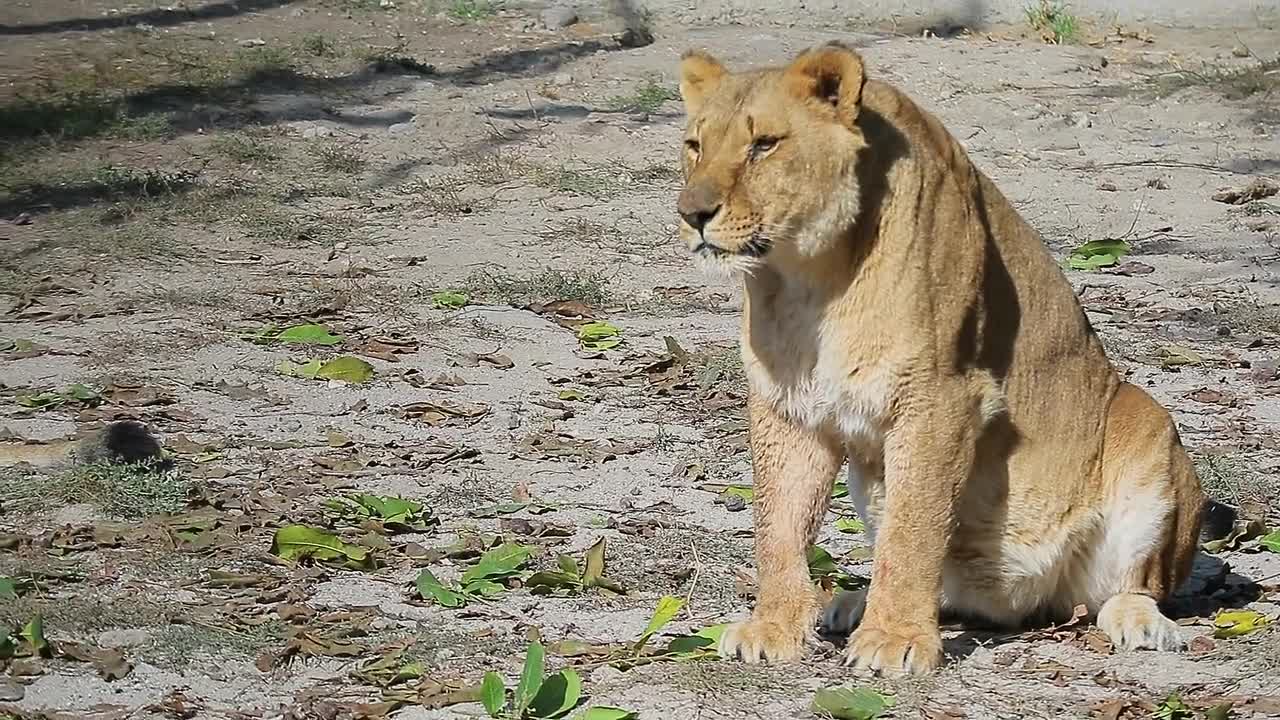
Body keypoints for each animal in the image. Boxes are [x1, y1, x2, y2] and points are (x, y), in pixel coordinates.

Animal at [675, 43, 1233, 671]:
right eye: (695, 145)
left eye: (764, 144)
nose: (692, 214)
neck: (807, 276)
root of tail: (1020, 603)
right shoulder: (788, 405)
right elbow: (780, 524)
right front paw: (774, 628)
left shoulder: (940, 396)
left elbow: (912, 530)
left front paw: (893, 641)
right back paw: (852, 603)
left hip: (1148, 423)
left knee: (1137, 585)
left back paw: (1142, 624)